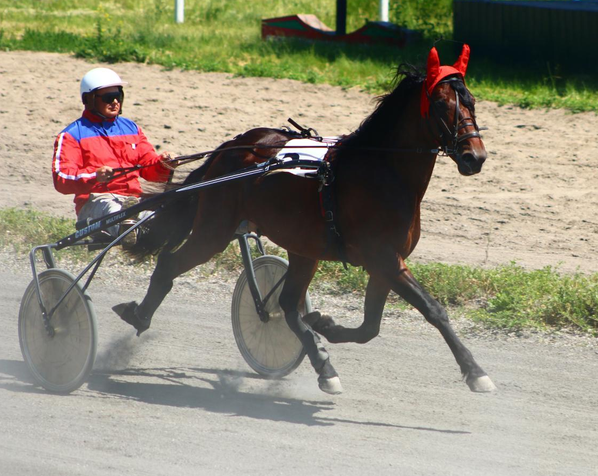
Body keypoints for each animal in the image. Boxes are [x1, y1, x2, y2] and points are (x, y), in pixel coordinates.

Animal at [112, 44, 496, 394]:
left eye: (472, 101)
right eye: (442, 105)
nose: (474, 157)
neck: (383, 171)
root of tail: (230, 148)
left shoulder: (386, 262)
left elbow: (370, 326)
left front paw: (325, 325)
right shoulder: (383, 258)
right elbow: (433, 310)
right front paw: (476, 372)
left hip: (302, 246)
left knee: (287, 305)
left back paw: (323, 365)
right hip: (214, 229)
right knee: (169, 263)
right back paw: (139, 314)